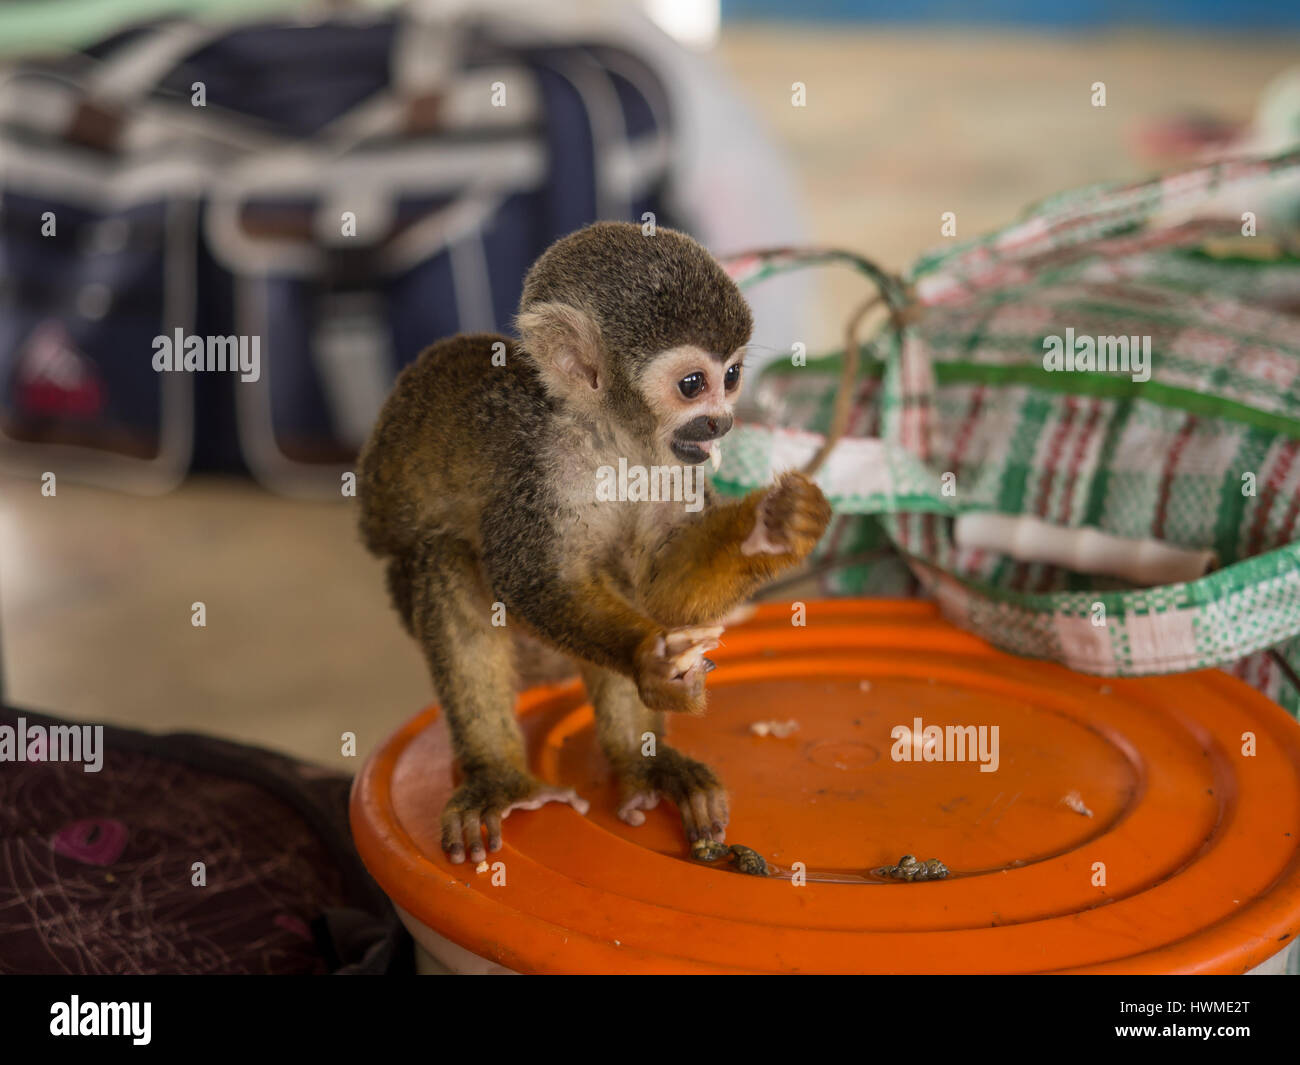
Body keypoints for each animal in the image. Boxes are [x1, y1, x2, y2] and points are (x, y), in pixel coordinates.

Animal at [358, 221, 832, 863]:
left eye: (732, 377)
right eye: (692, 385)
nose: (721, 423)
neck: (610, 440)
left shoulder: (673, 466)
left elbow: (663, 590)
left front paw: (774, 526)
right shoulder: (534, 469)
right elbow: (533, 579)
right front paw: (648, 660)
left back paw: (643, 765)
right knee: (447, 559)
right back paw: (499, 775)